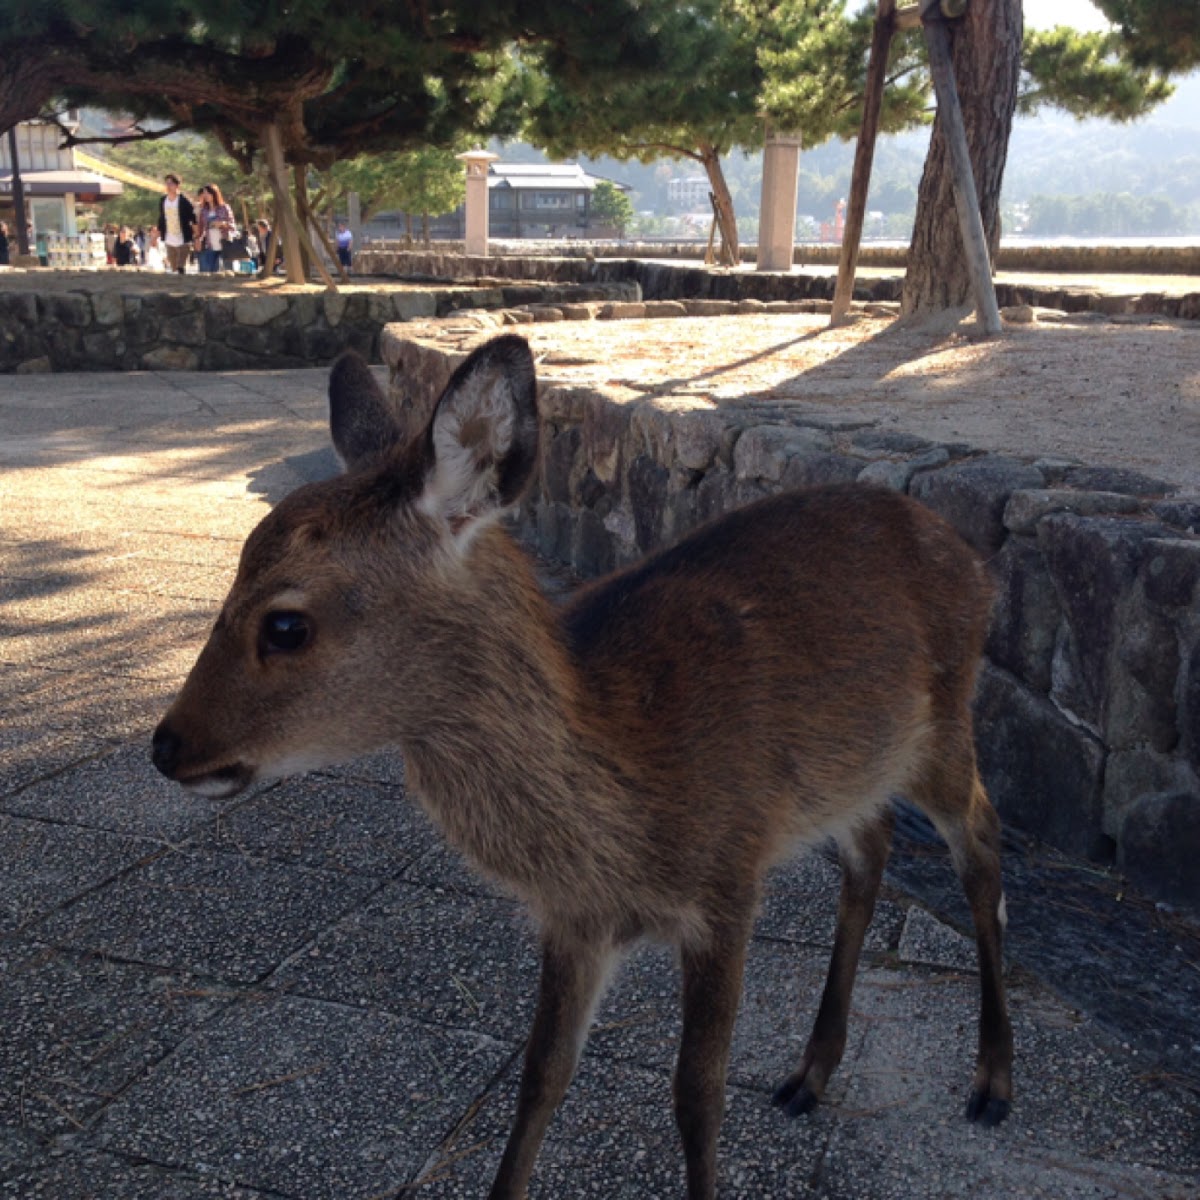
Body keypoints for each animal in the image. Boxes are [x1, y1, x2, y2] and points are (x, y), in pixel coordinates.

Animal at [150, 333, 1012, 1195]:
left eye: (286, 624)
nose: (167, 746)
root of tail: (972, 556)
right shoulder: (575, 921)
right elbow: (541, 1077)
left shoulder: (729, 879)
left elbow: (697, 1095)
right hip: (854, 768)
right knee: (870, 851)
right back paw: (810, 1074)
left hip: (945, 723)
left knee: (981, 843)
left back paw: (992, 1084)